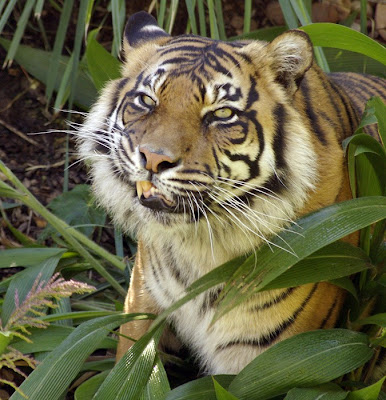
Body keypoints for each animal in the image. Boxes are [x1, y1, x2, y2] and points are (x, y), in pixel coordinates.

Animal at [78, 11, 386, 376]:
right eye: (147, 100)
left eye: (222, 114)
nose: (153, 158)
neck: (198, 245)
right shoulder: (141, 309)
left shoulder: (269, 359)